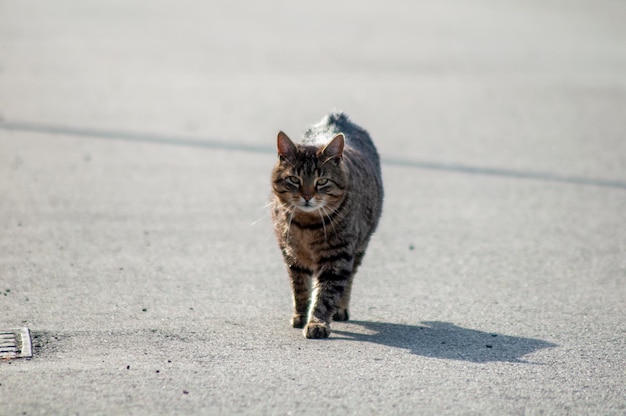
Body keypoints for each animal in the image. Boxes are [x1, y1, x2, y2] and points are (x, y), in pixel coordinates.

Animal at [270, 111, 382, 338]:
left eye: (322, 181)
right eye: (294, 179)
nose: (306, 196)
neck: (307, 225)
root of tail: (338, 117)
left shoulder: (337, 258)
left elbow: (326, 294)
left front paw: (317, 322)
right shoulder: (292, 256)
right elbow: (300, 288)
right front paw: (301, 315)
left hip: (359, 246)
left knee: (348, 280)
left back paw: (340, 309)